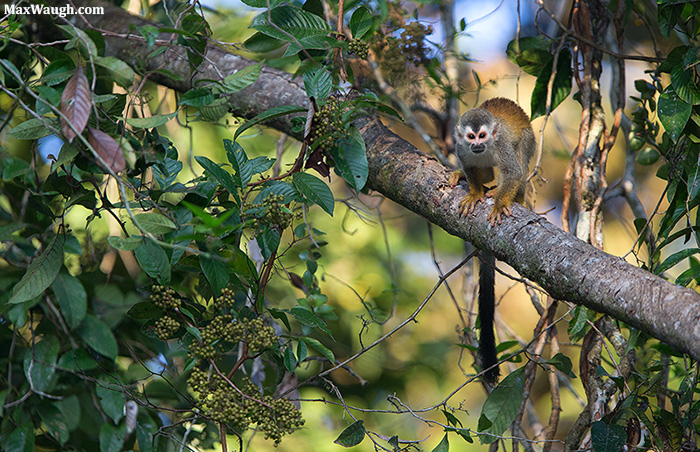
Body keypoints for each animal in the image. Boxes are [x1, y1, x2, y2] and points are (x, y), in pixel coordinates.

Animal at [449, 97, 535, 385]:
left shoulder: (500, 146)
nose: (478, 144)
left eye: (483, 135)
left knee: (521, 160)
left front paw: (498, 205)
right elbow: (472, 168)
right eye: (471, 136)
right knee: (484, 173)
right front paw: (475, 192)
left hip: (528, 139)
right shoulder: (460, 147)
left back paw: (514, 197)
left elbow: (513, 172)